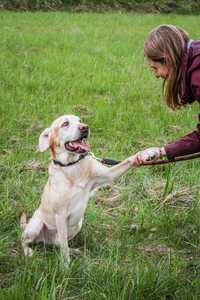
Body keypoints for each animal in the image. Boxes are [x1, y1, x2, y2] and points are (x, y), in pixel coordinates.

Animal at [21, 114, 135, 262]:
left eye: (80, 121)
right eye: (65, 124)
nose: (85, 127)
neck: (71, 166)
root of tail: (45, 240)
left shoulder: (109, 174)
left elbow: (129, 160)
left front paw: (147, 154)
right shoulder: (60, 215)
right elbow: (64, 248)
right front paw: (66, 266)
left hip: (78, 223)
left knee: (57, 243)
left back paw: (74, 251)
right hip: (36, 224)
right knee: (25, 240)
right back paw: (28, 251)